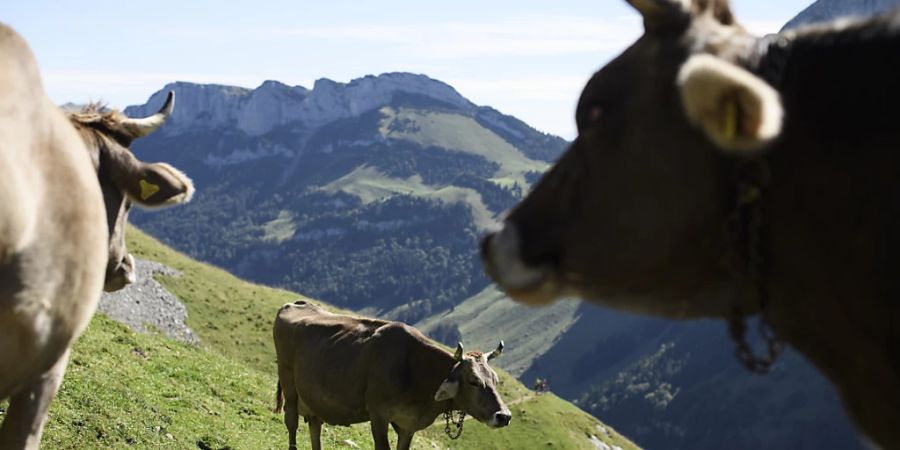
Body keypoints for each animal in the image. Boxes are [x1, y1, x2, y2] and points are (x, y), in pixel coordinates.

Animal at [272, 300, 512, 450]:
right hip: (288, 380)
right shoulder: (378, 414)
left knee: (315, 425)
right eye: (473, 381)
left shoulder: (407, 425)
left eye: (495, 380)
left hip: (313, 398)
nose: (504, 416)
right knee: (291, 421)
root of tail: (297, 303)